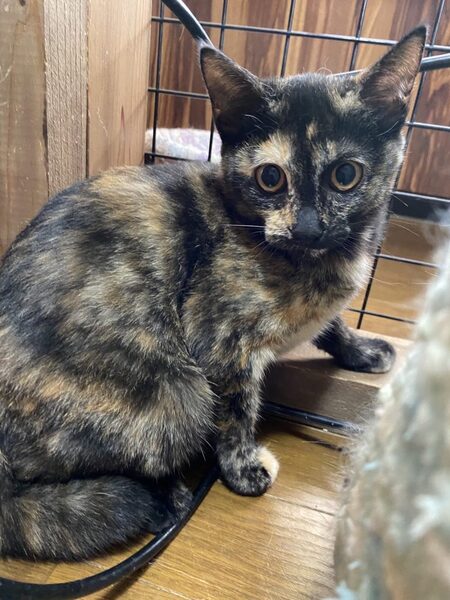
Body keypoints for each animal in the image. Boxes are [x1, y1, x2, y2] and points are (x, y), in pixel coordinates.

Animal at [0, 26, 425, 561]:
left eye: (345, 175)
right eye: (270, 177)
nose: (308, 228)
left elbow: (332, 324)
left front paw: (362, 349)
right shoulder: (222, 341)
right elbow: (237, 411)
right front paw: (243, 469)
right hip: (177, 397)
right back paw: (167, 496)